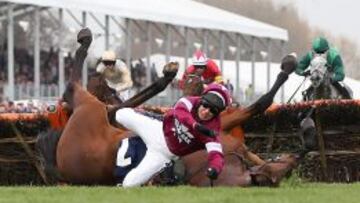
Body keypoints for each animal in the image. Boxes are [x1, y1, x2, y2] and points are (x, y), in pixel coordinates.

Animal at [38, 27, 300, 186]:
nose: (291, 157)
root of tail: (60, 163)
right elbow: (260, 103)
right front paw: (287, 66)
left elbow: (258, 106)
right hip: (87, 112)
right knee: (74, 88)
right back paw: (86, 39)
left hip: (93, 116)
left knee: (112, 109)